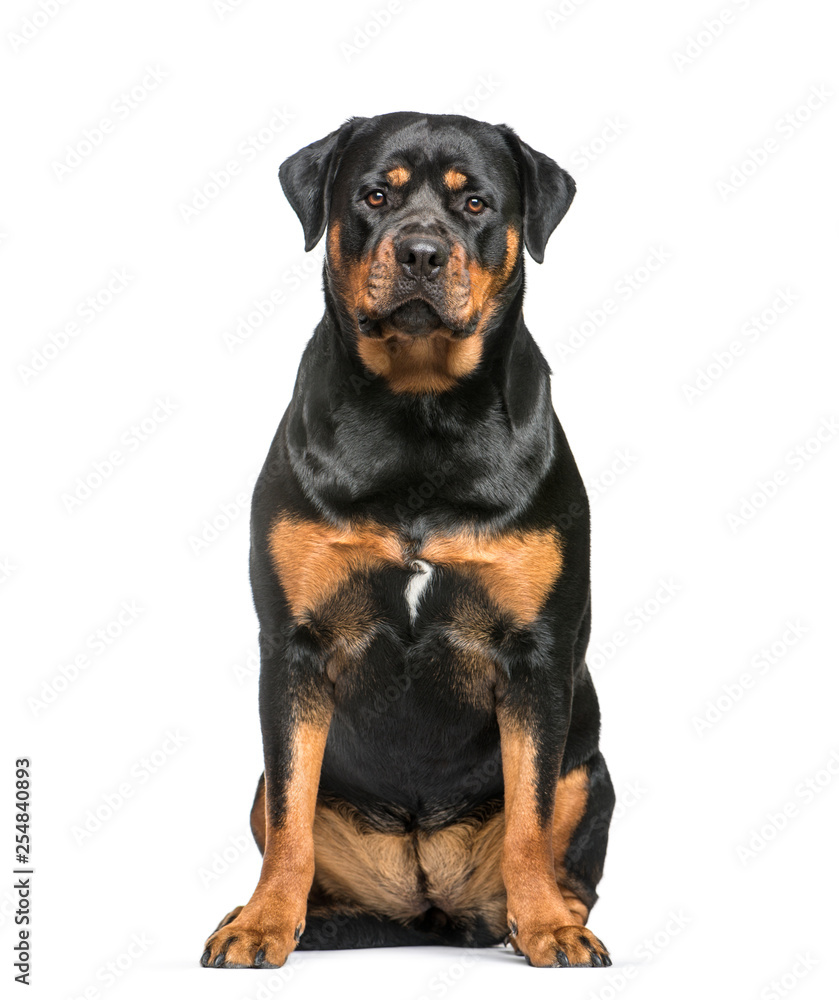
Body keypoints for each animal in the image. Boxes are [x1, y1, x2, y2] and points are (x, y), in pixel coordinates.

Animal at [200, 109, 612, 968]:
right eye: (374, 195)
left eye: (476, 203)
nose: (420, 250)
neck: (419, 410)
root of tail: (429, 904)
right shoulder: (293, 647)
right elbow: (290, 814)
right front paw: (261, 925)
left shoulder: (536, 656)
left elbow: (529, 816)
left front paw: (549, 929)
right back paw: (295, 918)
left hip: (591, 769)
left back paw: (551, 915)